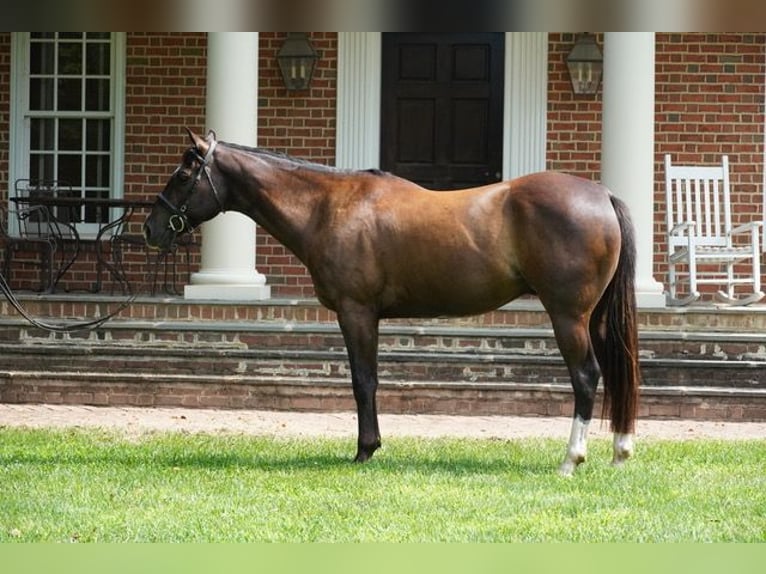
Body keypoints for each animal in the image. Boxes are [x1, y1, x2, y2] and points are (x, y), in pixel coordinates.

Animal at [144, 129, 640, 475]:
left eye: (184, 175)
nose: (151, 228)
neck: (327, 207)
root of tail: (601, 194)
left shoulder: (356, 312)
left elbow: (363, 381)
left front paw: (365, 451)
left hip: (568, 317)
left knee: (586, 376)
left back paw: (571, 459)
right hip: (593, 318)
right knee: (616, 369)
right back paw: (620, 451)